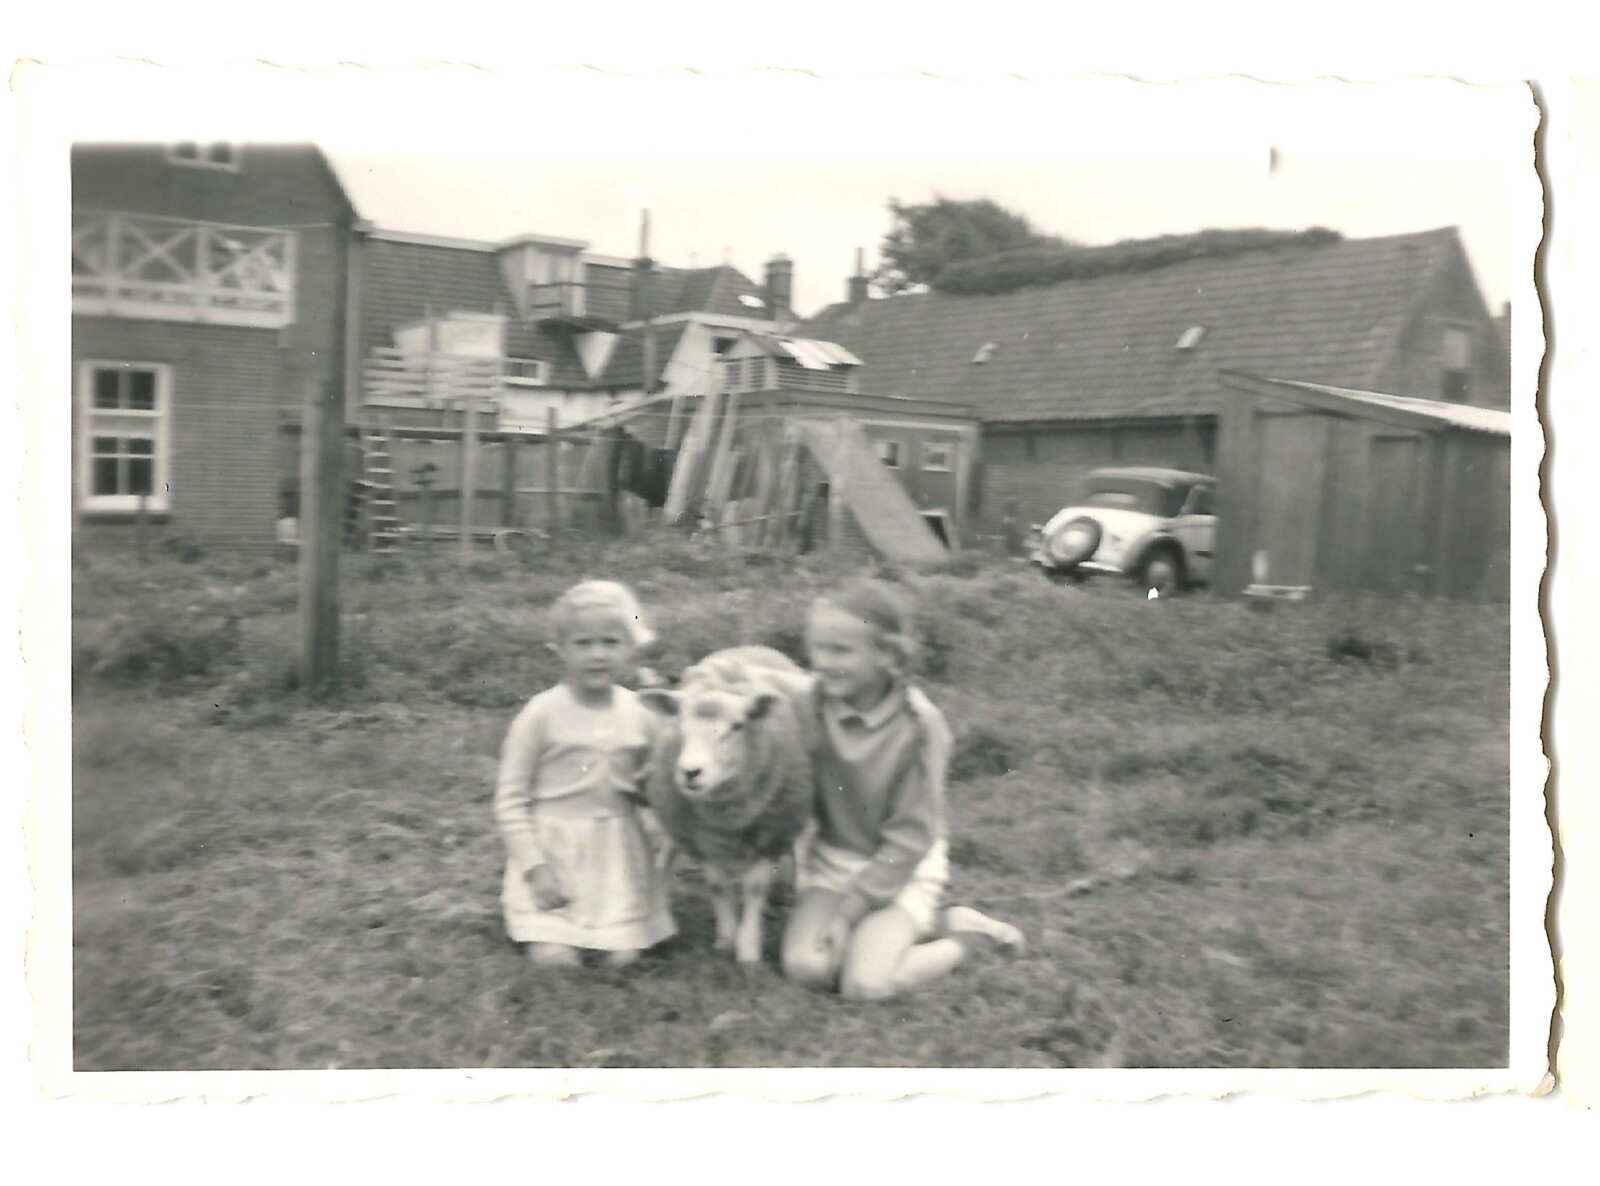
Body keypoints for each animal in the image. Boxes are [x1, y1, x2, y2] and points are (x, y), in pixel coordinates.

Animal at [636, 646, 812, 960]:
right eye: (680, 725)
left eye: (737, 725)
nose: (690, 772)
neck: (725, 814)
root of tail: (752, 648)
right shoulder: (701, 837)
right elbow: (717, 886)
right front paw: (725, 939)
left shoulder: (768, 833)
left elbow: (754, 888)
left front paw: (748, 949)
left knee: (801, 849)